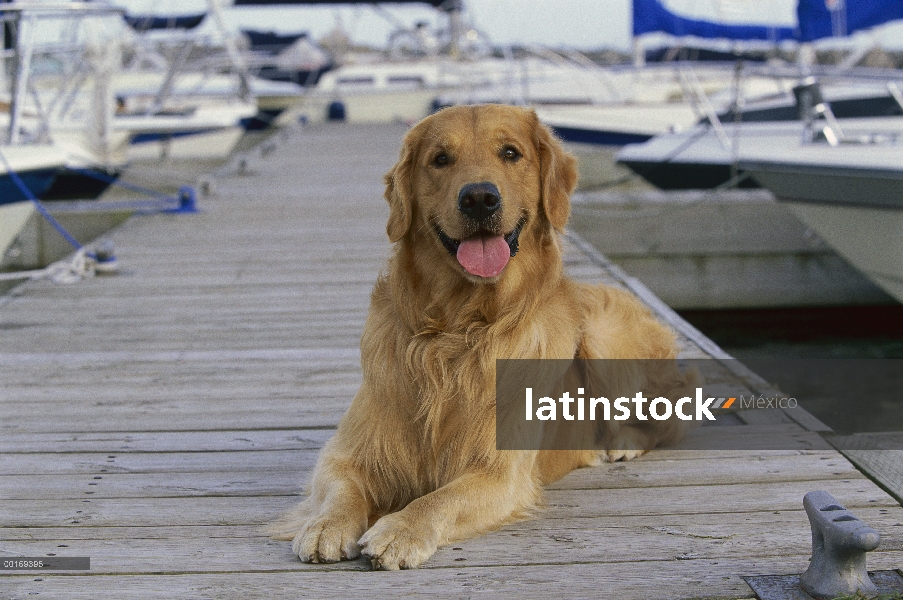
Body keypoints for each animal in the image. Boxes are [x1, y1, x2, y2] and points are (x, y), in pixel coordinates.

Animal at [272, 105, 696, 568]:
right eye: (440, 159)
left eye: (510, 152)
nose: (479, 198)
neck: (457, 329)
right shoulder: (349, 451)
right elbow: (340, 487)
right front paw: (326, 525)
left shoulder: (499, 473)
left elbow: (438, 500)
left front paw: (400, 530)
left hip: (605, 338)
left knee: (669, 418)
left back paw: (621, 442)